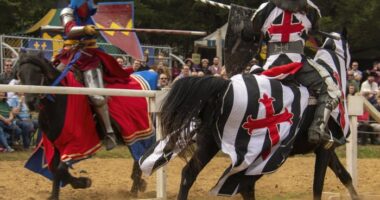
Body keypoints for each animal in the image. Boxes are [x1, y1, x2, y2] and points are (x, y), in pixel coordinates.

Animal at [17, 52, 148, 200]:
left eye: (39, 72)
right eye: (20, 74)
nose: (31, 102)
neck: (59, 102)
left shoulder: (77, 145)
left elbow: (60, 169)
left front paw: (84, 182)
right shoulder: (54, 143)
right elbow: (55, 169)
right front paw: (57, 193)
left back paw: (135, 187)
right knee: (138, 157)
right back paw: (137, 185)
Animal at [145, 33, 360, 200]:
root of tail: (224, 86)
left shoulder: (326, 150)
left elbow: (345, 176)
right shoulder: (324, 148)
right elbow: (318, 186)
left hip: (209, 144)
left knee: (190, 175)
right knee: (243, 185)